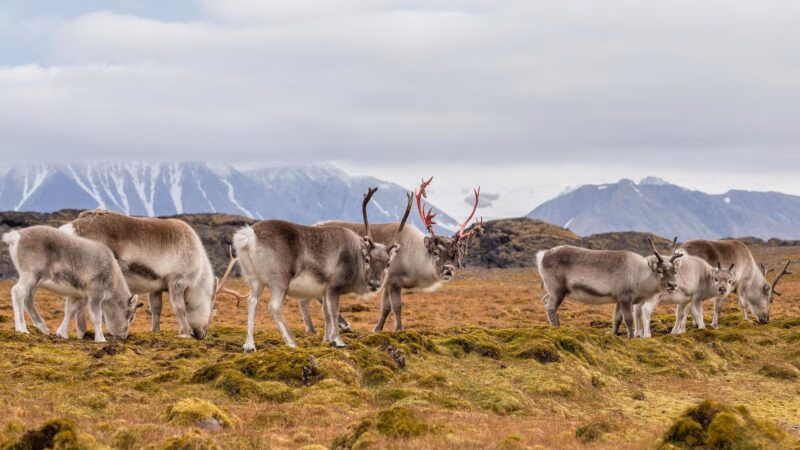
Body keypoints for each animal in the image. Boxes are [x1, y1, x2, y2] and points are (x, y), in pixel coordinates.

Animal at [2, 226, 140, 342]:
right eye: (131, 317)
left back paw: (44, 329)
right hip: (31, 274)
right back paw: (22, 329)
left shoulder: (77, 295)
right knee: (18, 292)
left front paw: (62, 334)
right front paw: (101, 339)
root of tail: (16, 236)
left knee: (28, 299)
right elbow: (96, 317)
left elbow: (69, 311)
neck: (113, 279)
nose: (123, 337)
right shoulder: (95, 295)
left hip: (34, 281)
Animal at [59, 210, 217, 339]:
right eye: (211, 310)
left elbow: (156, 309)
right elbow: (179, 308)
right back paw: (83, 333)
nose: (202, 335)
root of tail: (72, 227)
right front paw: (184, 333)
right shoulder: (178, 282)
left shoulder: (156, 287)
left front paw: (155, 331)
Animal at [231, 187, 413, 351]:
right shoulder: (333, 286)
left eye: (388, 263)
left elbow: (325, 314)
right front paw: (337, 340)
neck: (355, 256)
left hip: (254, 279)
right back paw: (291, 342)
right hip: (279, 279)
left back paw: (249, 345)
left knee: (252, 301)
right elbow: (333, 312)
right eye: (367, 259)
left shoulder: (324, 290)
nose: (375, 283)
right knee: (274, 307)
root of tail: (249, 236)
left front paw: (326, 340)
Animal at [297, 177, 484, 334]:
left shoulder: (386, 283)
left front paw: (377, 329)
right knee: (309, 299)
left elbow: (385, 308)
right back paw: (323, 327)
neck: (413, 254)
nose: (449, 269)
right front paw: (399, 329)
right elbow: (397, 306)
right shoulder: (394, 282)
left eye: (456, 254)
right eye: (436, 252)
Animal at [536, 237, 682, 337]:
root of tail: (542, 255)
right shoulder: (625, 298)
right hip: (557, 289)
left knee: (545, 300)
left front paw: (613, 335)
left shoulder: (618, 299)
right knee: (550, 307)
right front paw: (631, 337)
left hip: (554, 290)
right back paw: (556, 328)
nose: (673, 285)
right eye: (660, 271)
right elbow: (628, 320)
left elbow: (617, 319)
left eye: (674, 271)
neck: (640, 276)